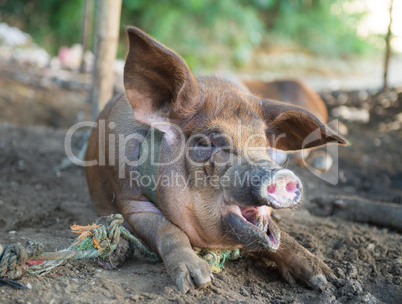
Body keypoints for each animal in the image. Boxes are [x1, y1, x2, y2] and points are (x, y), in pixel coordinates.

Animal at [84, 27, 346, 294]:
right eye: (205, 143)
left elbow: (280, 236)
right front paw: (197, 281)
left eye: (263, 143)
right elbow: (168, 230)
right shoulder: (130, 201)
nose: (281, 175)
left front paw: (327, 279)